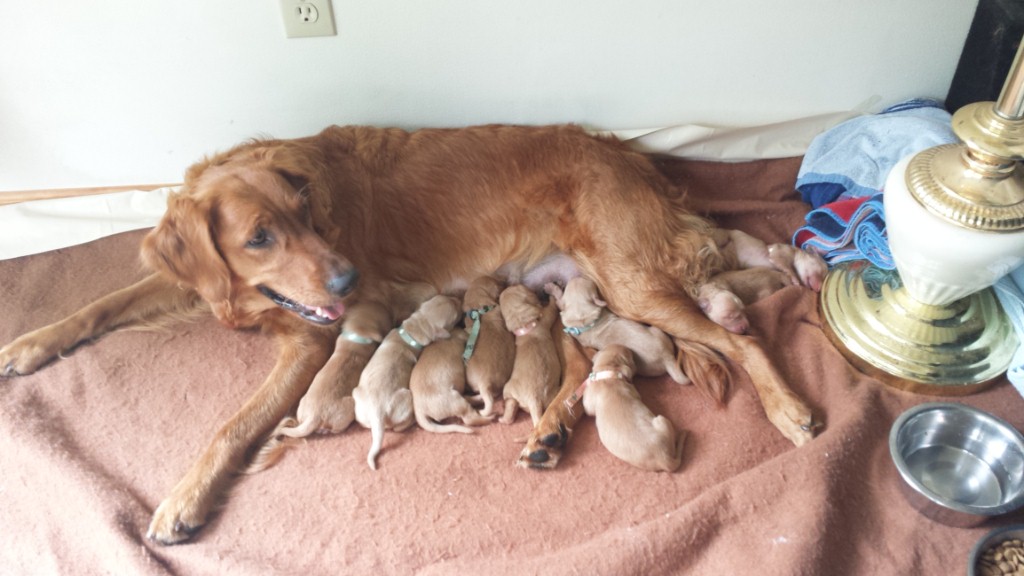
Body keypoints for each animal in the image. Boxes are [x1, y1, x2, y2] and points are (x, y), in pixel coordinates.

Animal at [354, 293, 462, 469]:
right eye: (455, 314)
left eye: (446, 296)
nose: (459, 299)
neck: (412, 330)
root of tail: (377, 412)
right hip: (406, 397)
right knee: (399, 427)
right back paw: (411, 422)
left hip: (358, 399)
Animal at [497, 284, 561, 424]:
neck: (524, 326)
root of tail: (534, 399)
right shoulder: (547, 315)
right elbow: (553, 305)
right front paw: (551, 290)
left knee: (511, 408)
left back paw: (503, 418)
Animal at [544, 276, 688, 383]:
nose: (578, 276)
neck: (584, 319)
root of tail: (667, 358)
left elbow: (559, 301)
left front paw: (553, 287)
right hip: (657, 335)